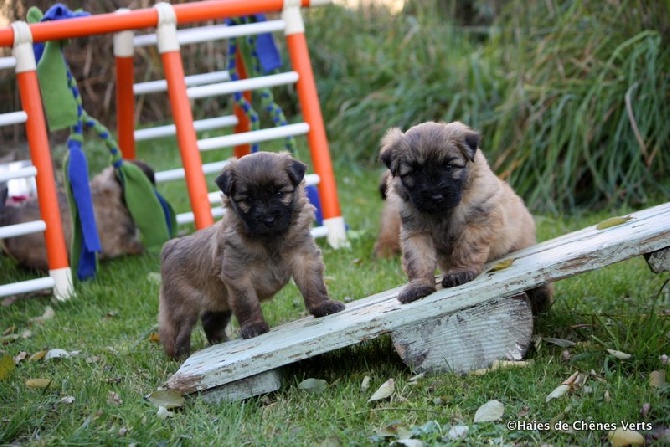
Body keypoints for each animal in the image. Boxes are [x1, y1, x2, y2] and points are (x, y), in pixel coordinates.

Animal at [159, 151, 346, 360]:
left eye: (280, 193)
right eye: (248, 199)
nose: (268, 219)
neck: (269, 239)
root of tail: (172, 245)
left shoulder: (304, 259)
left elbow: (313, 285)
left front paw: (323, 306)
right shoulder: (238, 276)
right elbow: (247, 302)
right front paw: (254, 326)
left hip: (218, 301)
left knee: (210, 320)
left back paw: (220, 341)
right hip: (182, 310)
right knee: (176, 334)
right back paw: (180, 356)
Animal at [380, 120, 552, 316]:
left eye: (449, 166)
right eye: (414, 172)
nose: (435, 196)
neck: (442, 213)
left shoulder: (477, 221)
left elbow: (466, 248)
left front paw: (460, 272)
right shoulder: (416, 232)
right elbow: (418, 260)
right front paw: (418, 285)